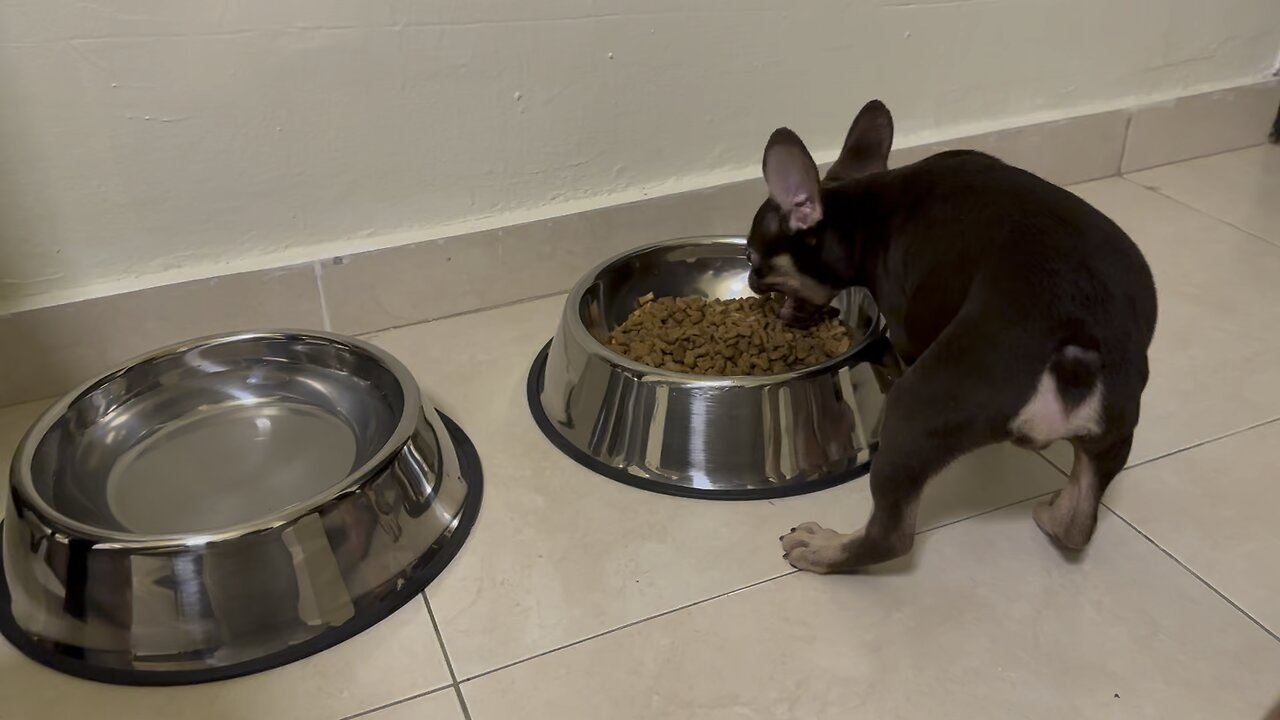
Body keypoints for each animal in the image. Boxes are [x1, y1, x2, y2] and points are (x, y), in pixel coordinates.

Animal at [747, 99, 1162, 571]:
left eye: (755, 259)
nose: (751, 280)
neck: (863, 215)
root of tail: (1073, 354)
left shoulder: (907, 330)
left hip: (914, 408)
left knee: (890, 536)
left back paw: (823, 548)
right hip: (1116, 432)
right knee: (1076, 524)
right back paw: (1051, 512)